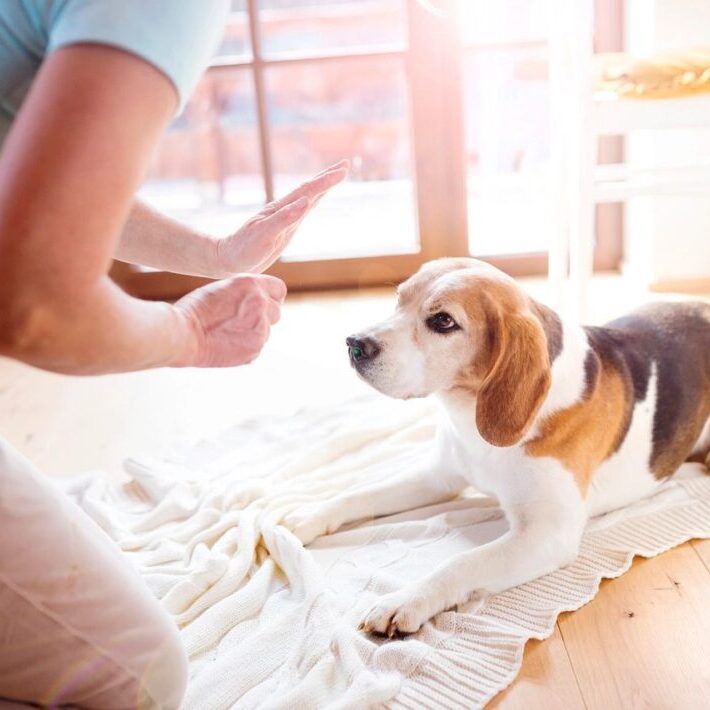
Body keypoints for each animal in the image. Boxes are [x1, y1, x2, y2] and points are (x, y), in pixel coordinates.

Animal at [292, 258, 708, 636]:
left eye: (443, 321)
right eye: (398, 299)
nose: (355, 344)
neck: (471, 419)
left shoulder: (547, 533)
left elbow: (462, 563)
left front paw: (406, 600)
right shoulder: (439, 477)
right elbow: (356, 495)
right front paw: (307, 518)